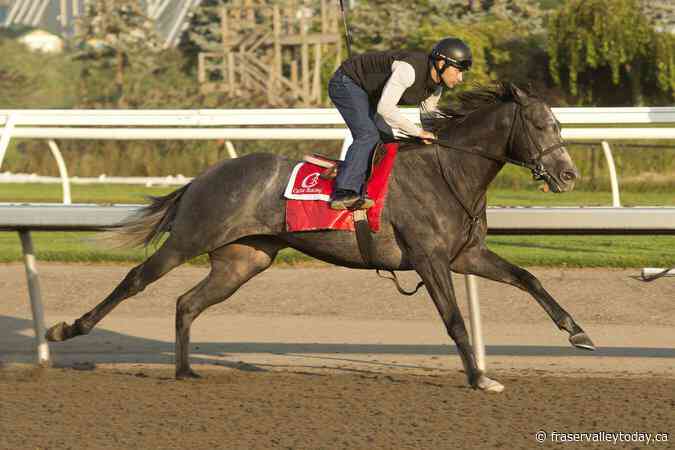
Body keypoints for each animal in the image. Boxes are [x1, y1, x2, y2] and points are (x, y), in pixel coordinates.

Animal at [45, 82, 595, 392]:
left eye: (559, 124)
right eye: (542, 124)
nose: (568, 176)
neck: (449, 171)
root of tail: (206, 175)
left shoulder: (466, 255)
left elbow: (527, 278)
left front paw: (578, 332)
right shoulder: (430, 259)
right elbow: (456, 320)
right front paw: (480, 378)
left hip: (244, 260)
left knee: (188, 302)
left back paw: (185, 372)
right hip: (190, 239)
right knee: (137, 280)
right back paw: (66, 330)